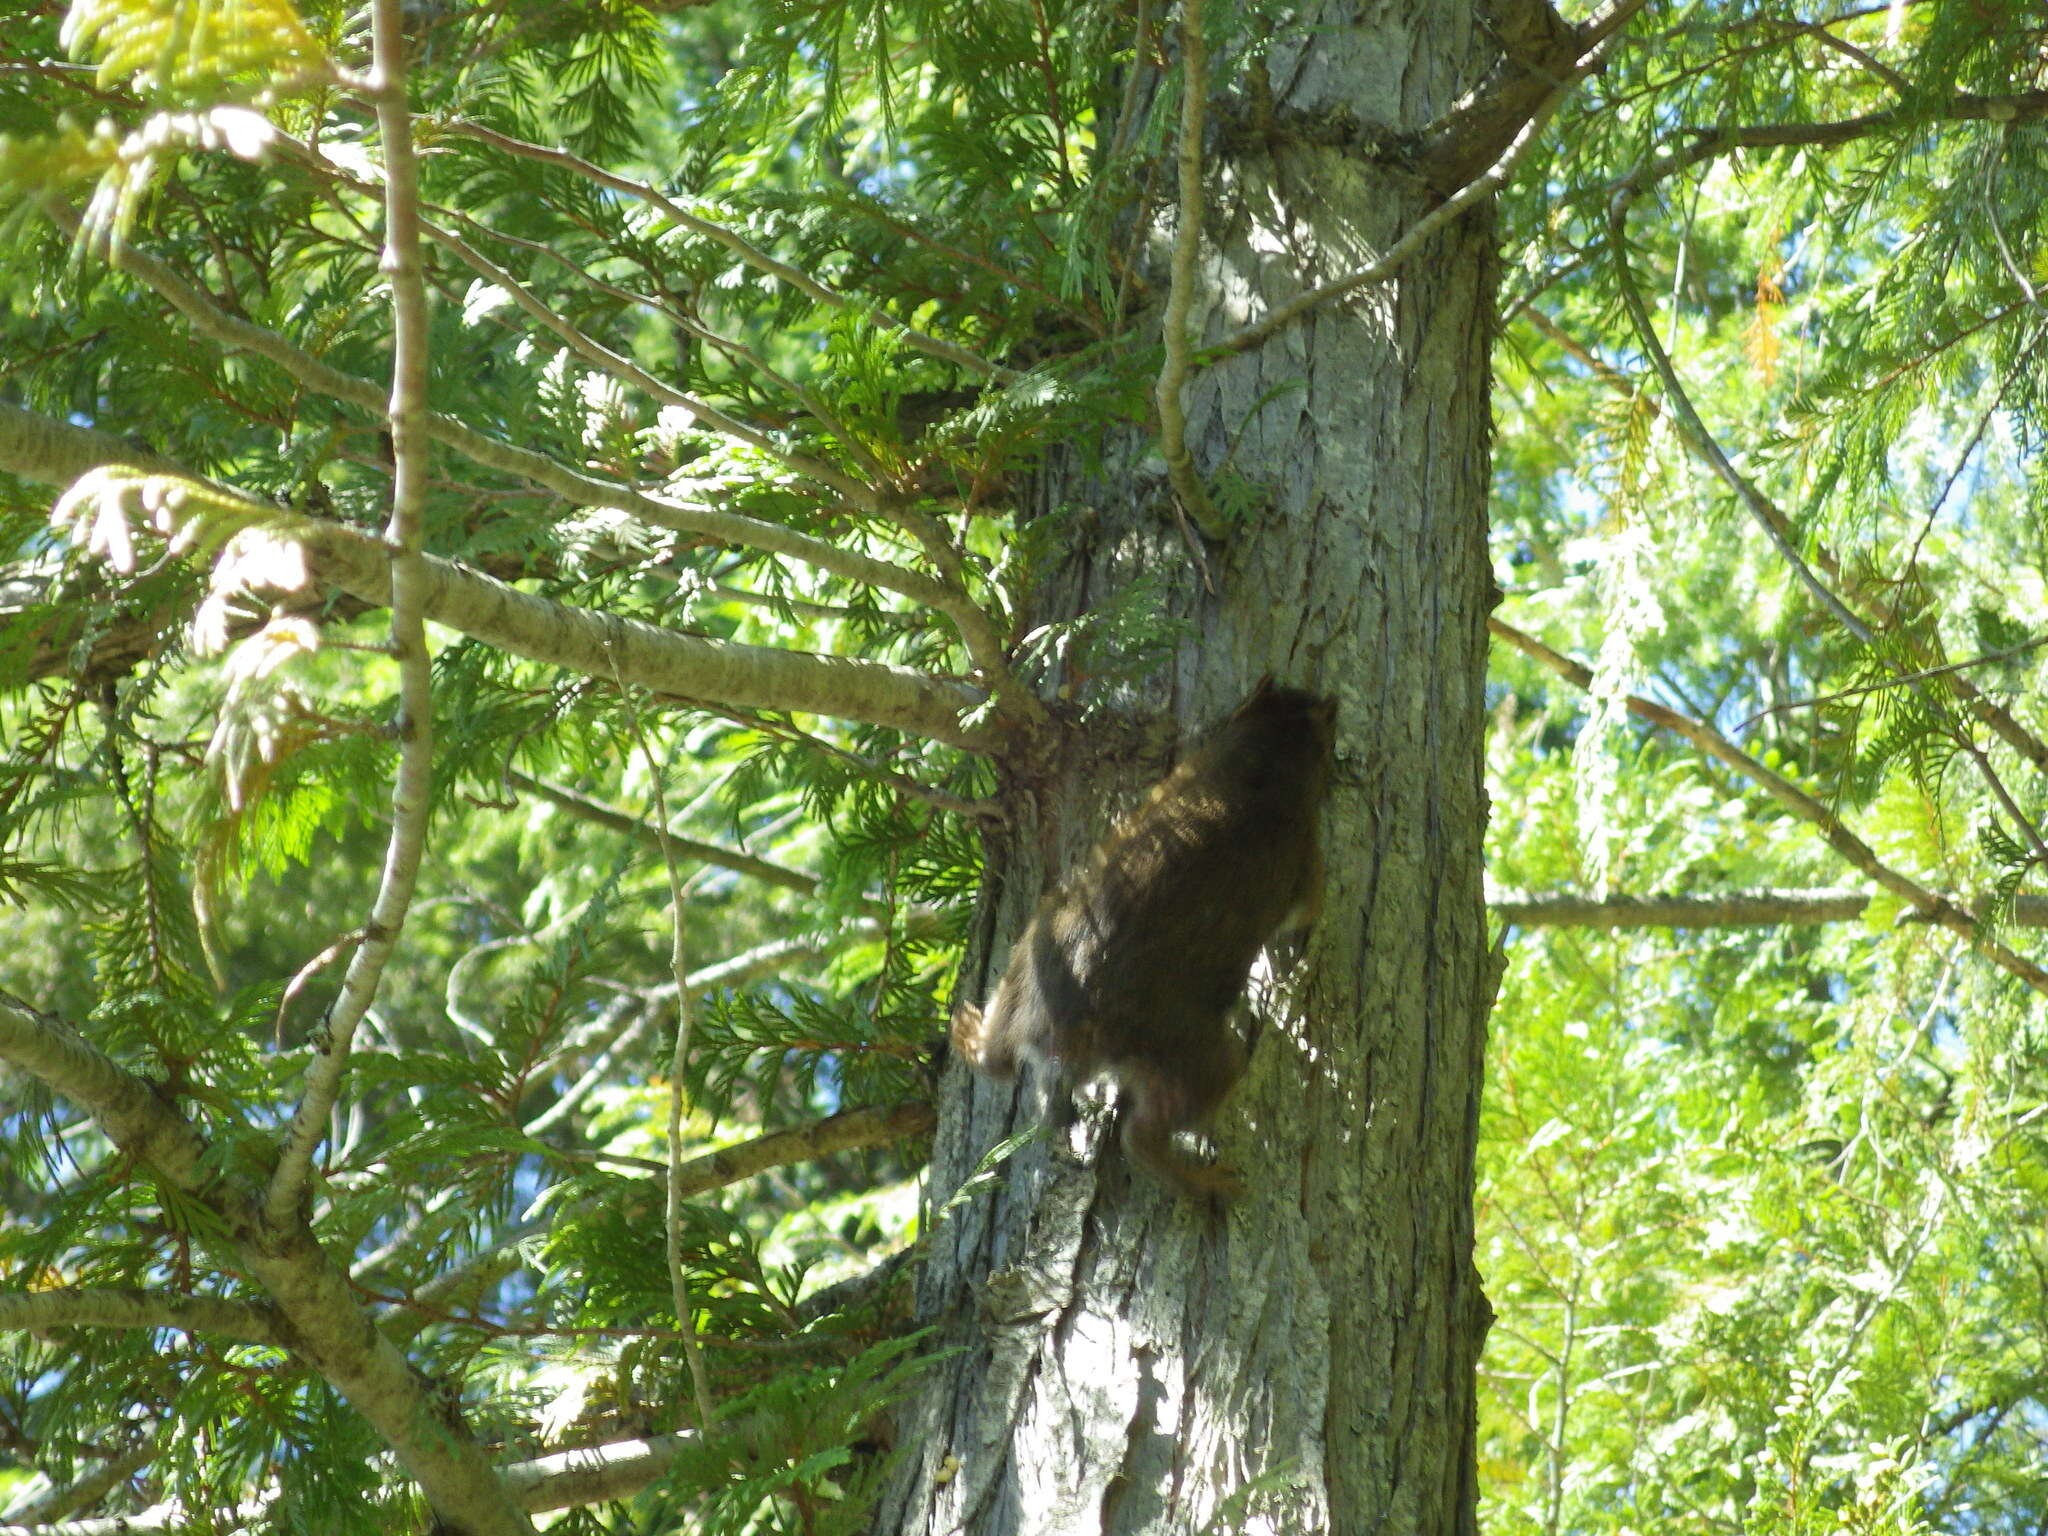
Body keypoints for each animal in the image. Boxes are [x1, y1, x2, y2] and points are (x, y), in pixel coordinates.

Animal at [950, 684, 1335, 1204]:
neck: (1261, 764)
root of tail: (1063, 1031)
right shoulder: (1306, 854)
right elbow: (1311, 906)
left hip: (1030, 947)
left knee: (998, 1059)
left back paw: (971, 1034)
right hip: (1191, 1060)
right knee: (1144, 1134)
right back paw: (1202, 1181)